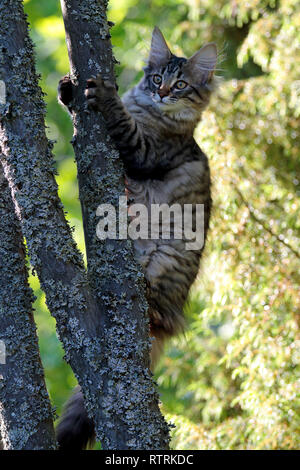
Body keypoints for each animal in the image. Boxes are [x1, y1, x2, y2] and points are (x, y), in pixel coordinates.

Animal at [56, 27, 216, 450]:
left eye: (181, 85)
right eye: (156, 78)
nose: (161, 93)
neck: (152, 113)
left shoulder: (146, 151)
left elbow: (123, 125)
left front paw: (106, 98)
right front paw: (66, 89)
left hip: (162, 262)